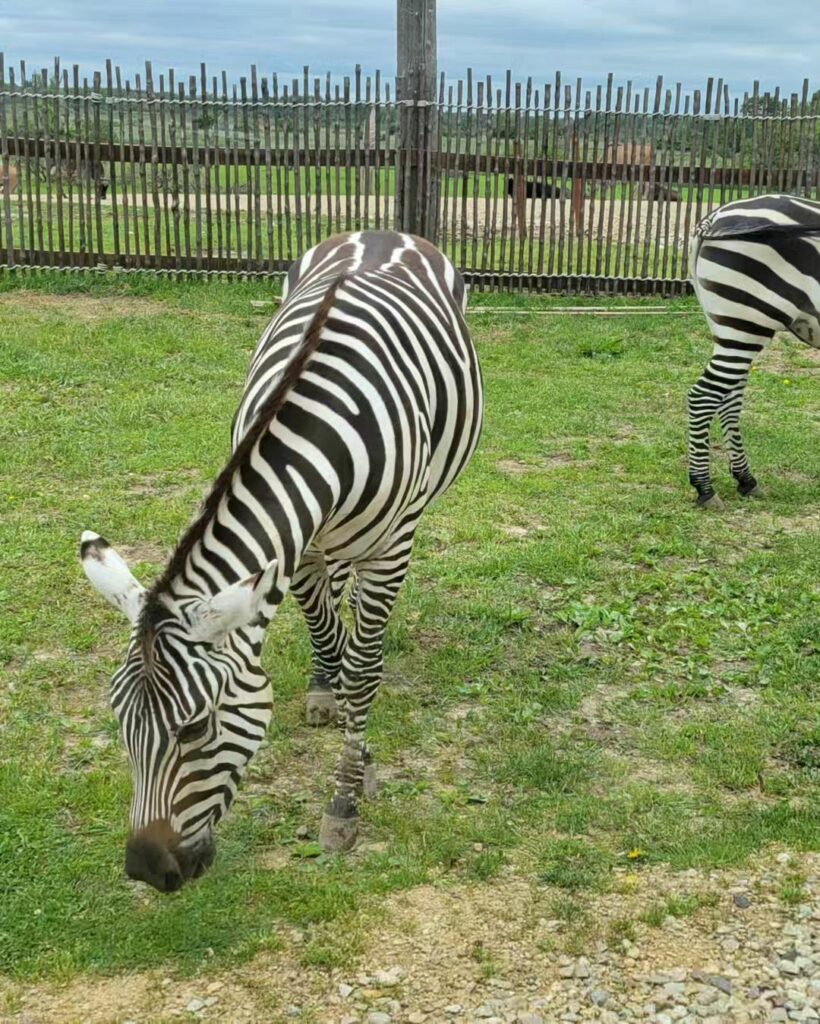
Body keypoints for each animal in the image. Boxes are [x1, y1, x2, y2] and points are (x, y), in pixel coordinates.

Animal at [78, 232, 479, 888]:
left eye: (195, 727)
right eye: (119, 721)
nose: (146, 870)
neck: (320, 433)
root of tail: (384, 233)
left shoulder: (389, 547)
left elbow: (363, 670)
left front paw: (346, 798)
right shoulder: (301, 546)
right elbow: (328, 633)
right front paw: (339, 710)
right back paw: (322, 685)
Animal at [687, 192, 814, 507]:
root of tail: (714, 218)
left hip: (730, 326)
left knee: (729, 398)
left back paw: (745, 479)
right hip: (747, 320)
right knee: (704, 396)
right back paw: (705, 488)